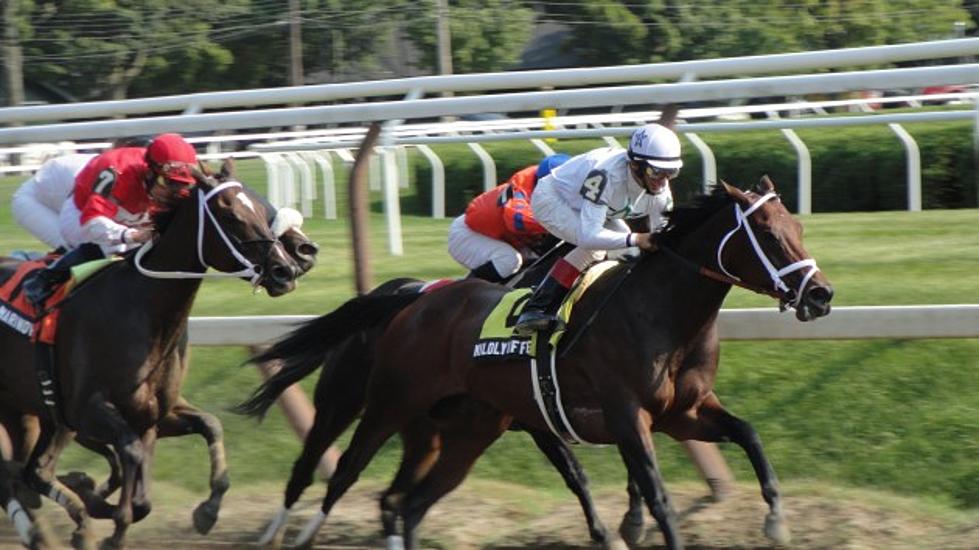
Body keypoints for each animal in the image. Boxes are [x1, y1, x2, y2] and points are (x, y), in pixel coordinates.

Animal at [0, 170, 298, 548]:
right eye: (230, 215)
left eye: (261, 209)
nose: (284, 271)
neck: (142, 309)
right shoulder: (87, 412)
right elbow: (131, 459)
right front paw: (110, 525)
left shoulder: (152, 415)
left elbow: (208, 427)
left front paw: (207, 511)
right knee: (30, 472)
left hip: (29, 413)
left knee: (31, 471)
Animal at [249, 179, 832, 548]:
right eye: (770, 236)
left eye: (800, 228)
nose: (821, 295)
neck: (662, 315)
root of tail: (406, 302)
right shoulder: (615, 415)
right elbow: (644, 490)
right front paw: (629, 526)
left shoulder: (681, 413)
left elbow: (748, 434)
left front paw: (776, 521)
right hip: (377, 405)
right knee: (335, 473)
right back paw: (290, 533)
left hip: (450, 430)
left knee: (400, 501)